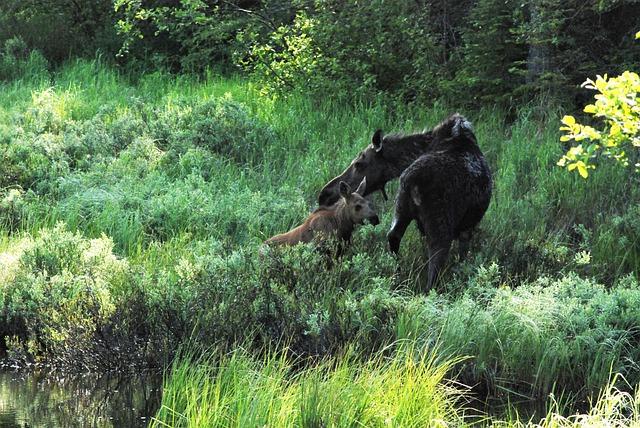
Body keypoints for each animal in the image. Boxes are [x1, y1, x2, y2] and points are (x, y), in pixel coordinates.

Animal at [320, 113, 496, 290]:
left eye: (358, 163)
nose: (324, 194)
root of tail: (413, 182)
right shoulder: (468, 226)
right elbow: (462, 257)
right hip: (440, 222)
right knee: (436, 255)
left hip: (402, 208)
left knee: (393, 236)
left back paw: (397, 278)